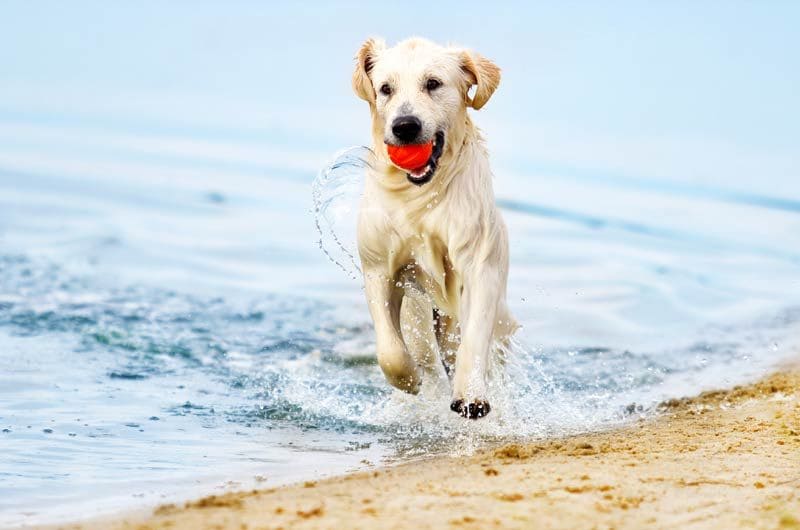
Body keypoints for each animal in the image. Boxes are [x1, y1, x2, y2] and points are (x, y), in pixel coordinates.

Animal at [352, 36, 516, 416]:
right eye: (385, 88)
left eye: (433, 83)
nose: (405, 125)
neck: (421, 195)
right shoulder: (378, 266)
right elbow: (390, 348)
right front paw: (409, 379)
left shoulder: (480, 262)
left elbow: (475, 335)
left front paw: (471, 395)